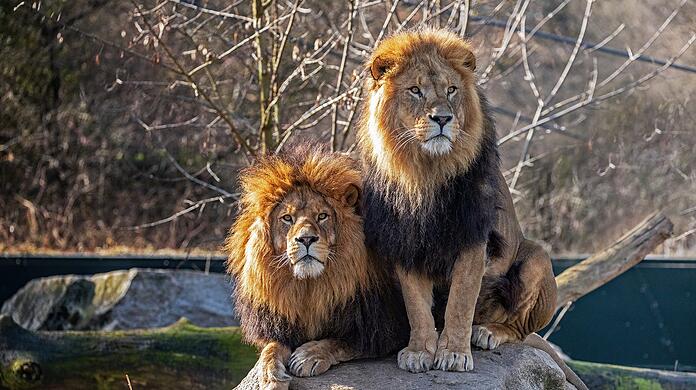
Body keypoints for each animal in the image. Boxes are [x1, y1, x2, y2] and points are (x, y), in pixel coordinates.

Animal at [223, 151, 408, 388]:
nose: (306, 239)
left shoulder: (386, 329)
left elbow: (341, 342)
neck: (311, 287)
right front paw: (270, 375)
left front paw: (308, 356)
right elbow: (271, 349)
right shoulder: (281, 327)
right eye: (287, 218)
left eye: (322, 216)